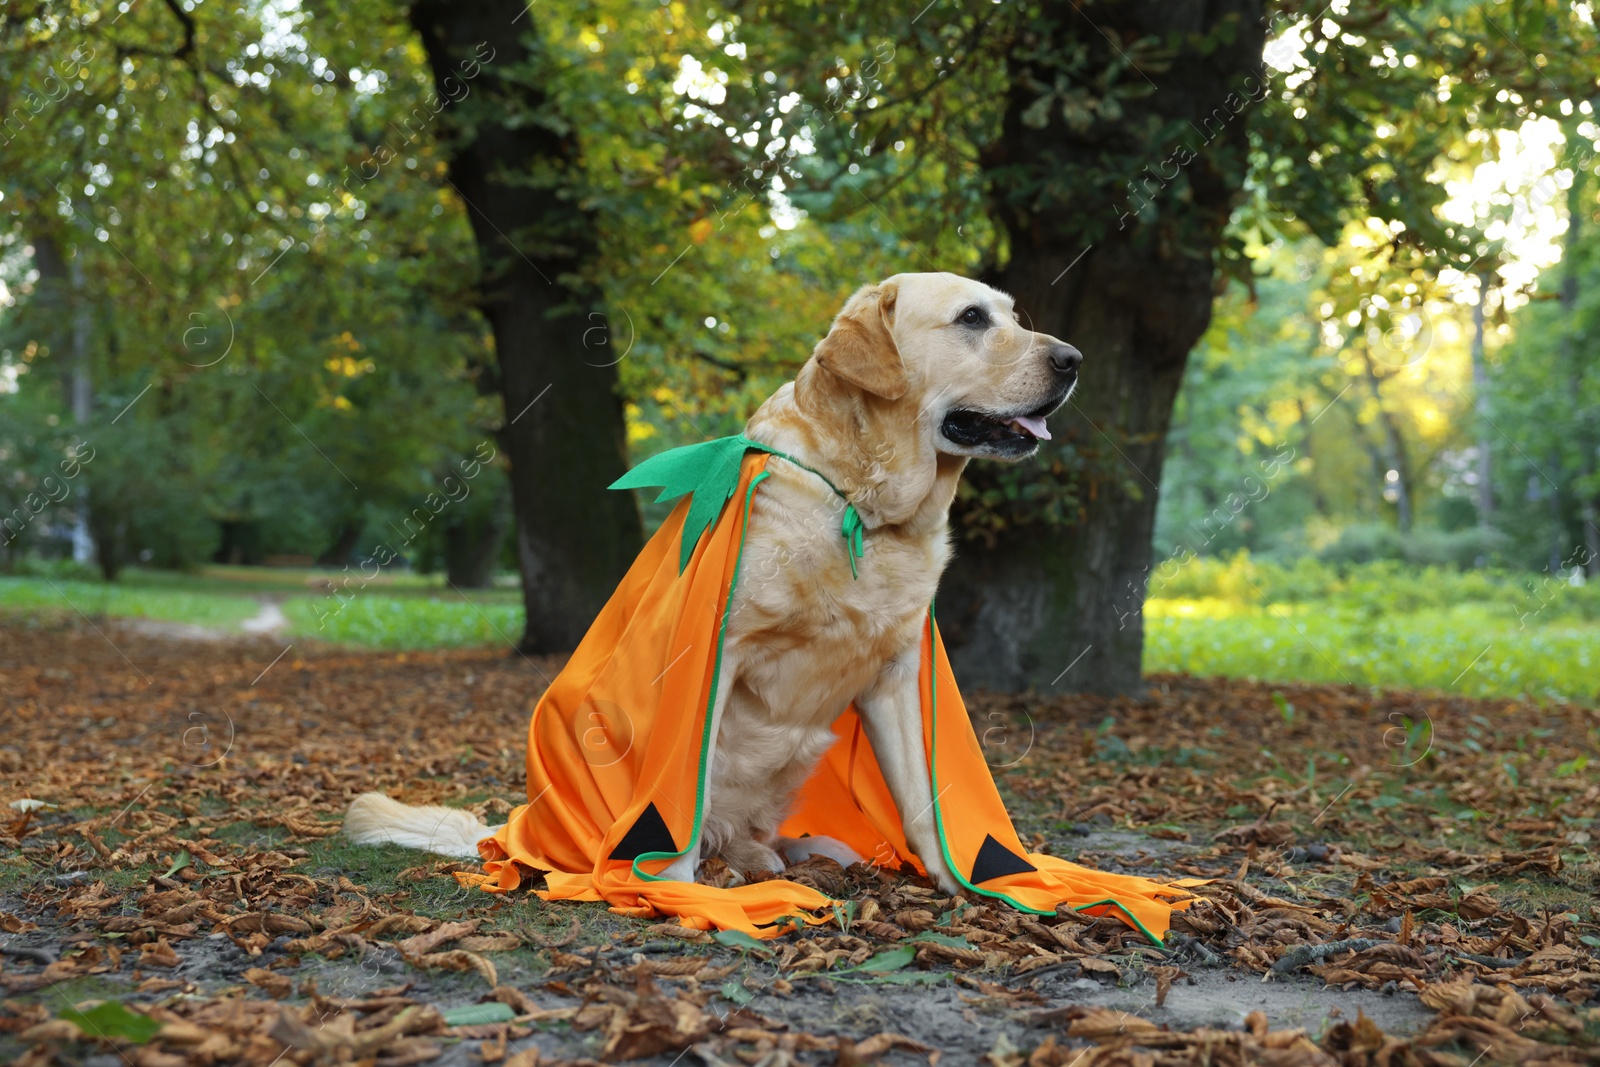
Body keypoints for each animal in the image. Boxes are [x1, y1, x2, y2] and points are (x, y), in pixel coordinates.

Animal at [347, 273, 1075, 895]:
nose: (1073, 358)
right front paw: (672, 891)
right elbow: (680, 803)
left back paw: (774, 856)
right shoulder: (719, 656)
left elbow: (923, 798)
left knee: (757, 834)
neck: (862, 507)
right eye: (972, 318)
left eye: (1015, 316)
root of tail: (515, 828)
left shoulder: (896, 675)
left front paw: (965, 883)